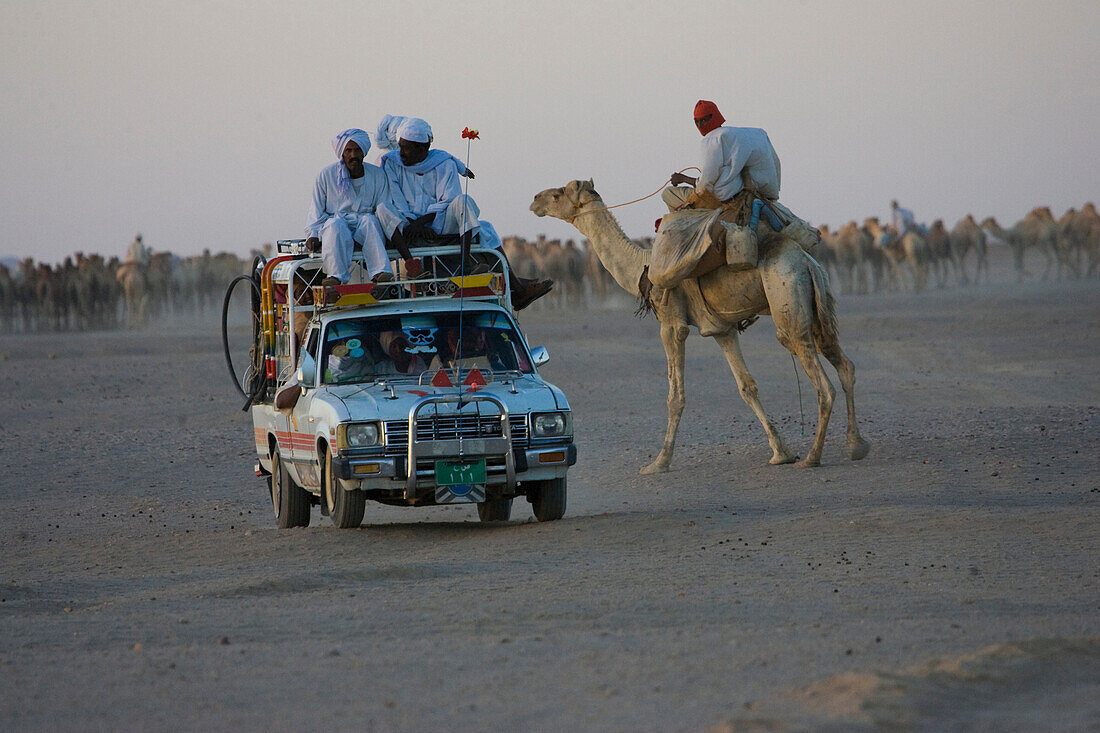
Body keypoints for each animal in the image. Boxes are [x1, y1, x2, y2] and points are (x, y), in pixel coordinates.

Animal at [528, 179, 871, 471]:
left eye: (558, 193)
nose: (535, 200)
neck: (643, 266)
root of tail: (806, 262)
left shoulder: (671, 325)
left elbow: (675, 396)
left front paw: (659, 463)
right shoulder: (722, 329)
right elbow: (747, 386)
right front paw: (780, 452)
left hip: (788, 301)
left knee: (821, 382)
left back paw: (813, 456)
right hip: (818, 305)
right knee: (845, 366)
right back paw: (856, 445)